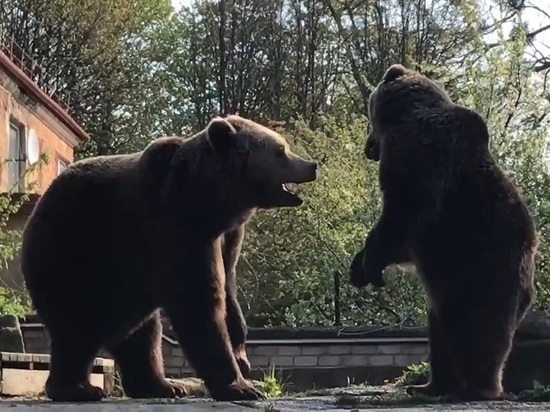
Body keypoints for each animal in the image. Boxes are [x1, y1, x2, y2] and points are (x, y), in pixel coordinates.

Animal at [20, 114, 320, 404]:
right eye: (280, 151)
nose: (311, 164)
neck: (211, 203)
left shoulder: (228, 236)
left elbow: (228, 288)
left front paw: (241, 356)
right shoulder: (173, 226)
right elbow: (197, 300)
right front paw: (240, 386)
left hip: (123, 290)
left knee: (141, 336)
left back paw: (162, 385)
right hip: (74, 254)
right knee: (77, 329)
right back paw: (79, 389)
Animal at [354, 62, 540, 400]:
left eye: (369, 116)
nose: (367, 148)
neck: (405, 117)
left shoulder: (417, 159)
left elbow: (400, 214)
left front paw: (369, 263)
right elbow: (405, 243)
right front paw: (358, 265)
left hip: (480, 270)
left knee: (476, 331)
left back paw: (478, 388)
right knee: (440, 332)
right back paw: (429, 385)